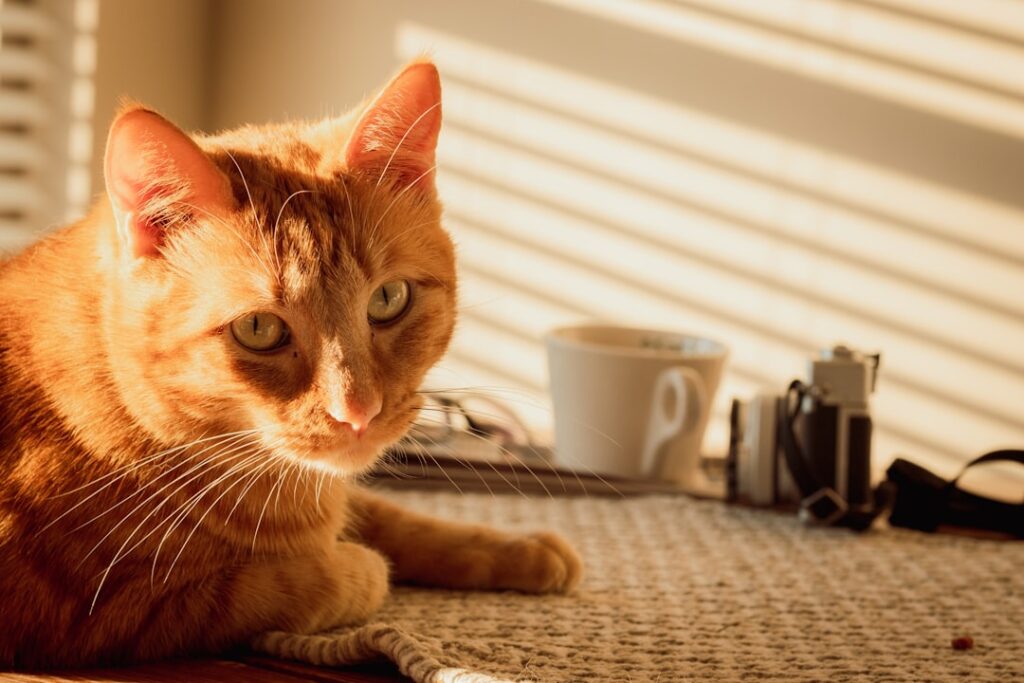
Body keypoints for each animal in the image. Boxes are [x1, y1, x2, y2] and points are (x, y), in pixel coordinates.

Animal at [0, 61, 581, 671]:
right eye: (259, 329)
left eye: (389, 298)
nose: (358, 412)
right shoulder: (110, 608)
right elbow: (308, 581)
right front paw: (359, 565)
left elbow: (390, 515)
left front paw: (515, 548)